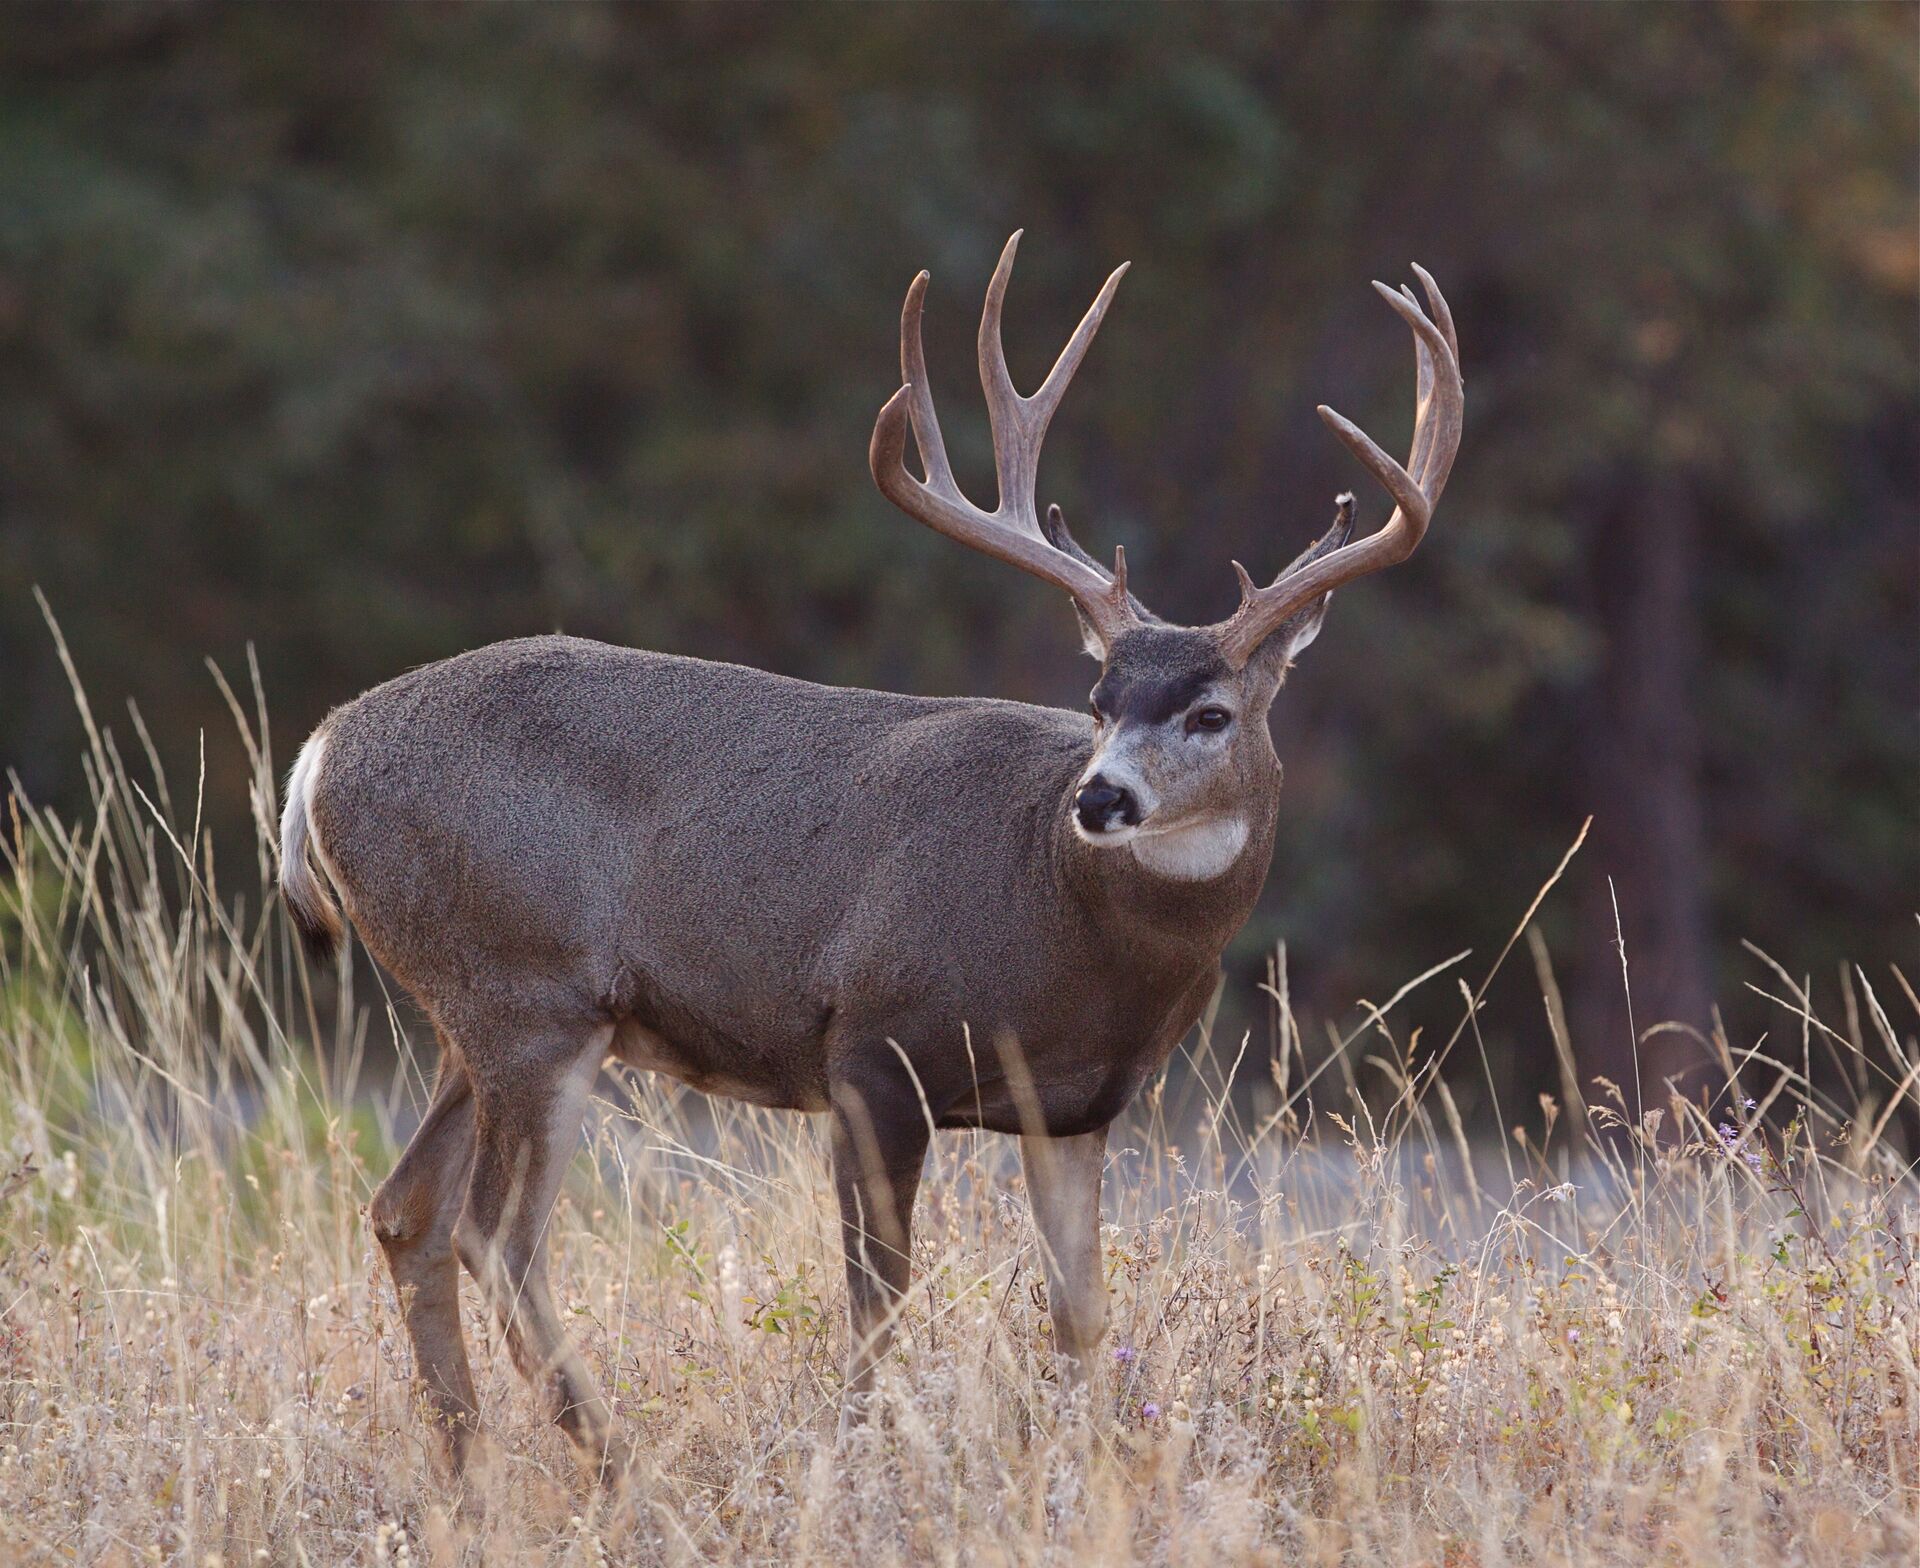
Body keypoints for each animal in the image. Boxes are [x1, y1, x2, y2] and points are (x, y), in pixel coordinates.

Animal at [277, 232, 1462, 1480]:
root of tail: (320, 750)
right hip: (527, 993)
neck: (1059, 914)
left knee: (405, 1209)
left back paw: (469, 1471)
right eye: (1098, 699)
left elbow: (1080, 1314)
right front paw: (855, 1464)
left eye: (1211, 712)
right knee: (495, 1233)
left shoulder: (1079, 1105)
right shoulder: (874, 1045)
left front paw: (1093, 1466)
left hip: (474, 1010)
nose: (1099, 795)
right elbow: (876, 1297)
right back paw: (615, 1465)